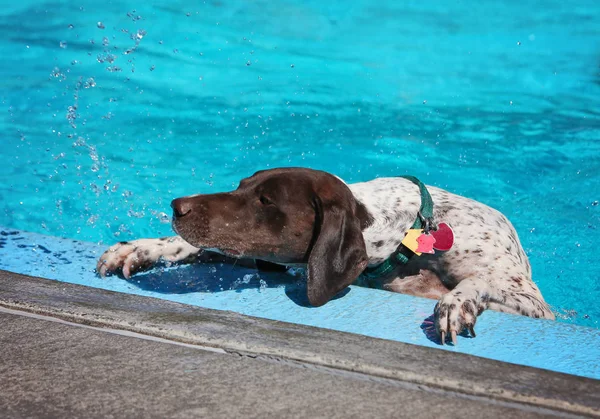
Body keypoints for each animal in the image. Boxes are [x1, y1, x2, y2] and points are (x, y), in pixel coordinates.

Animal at [97, 167, 552, 344]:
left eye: (265, 200)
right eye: (241, 185)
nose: (177, 206)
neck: (411, 235)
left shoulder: (538, 308)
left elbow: (477, 281)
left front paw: (455, 303)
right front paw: (142, 247)